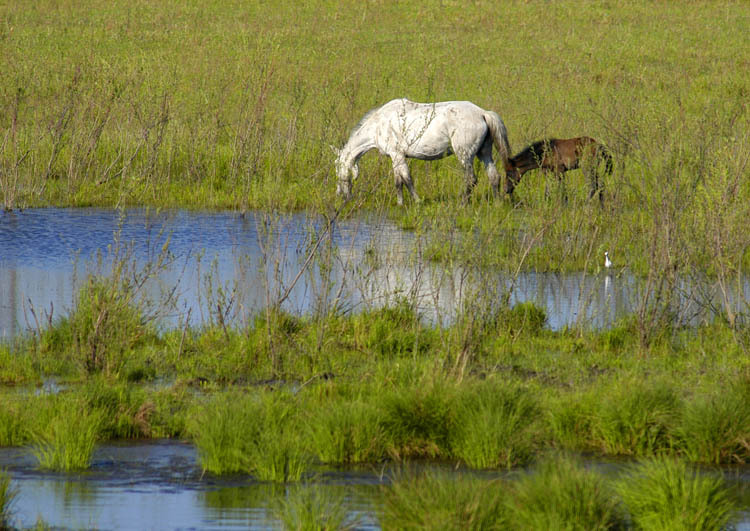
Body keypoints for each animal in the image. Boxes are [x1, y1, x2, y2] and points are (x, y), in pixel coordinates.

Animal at [334, 98, 516, 207]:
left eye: (337, 169)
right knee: (494, 176)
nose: (341, 196)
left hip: (465, 155)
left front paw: (416, 201)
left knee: (471, 179)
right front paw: (400, 203)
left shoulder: (397, 155)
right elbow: (398, 181)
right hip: (484, 153)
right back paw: (497, 203)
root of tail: (483, 113)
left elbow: (407, 179)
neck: (379, 124)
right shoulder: (395, 158)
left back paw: (463, 203)